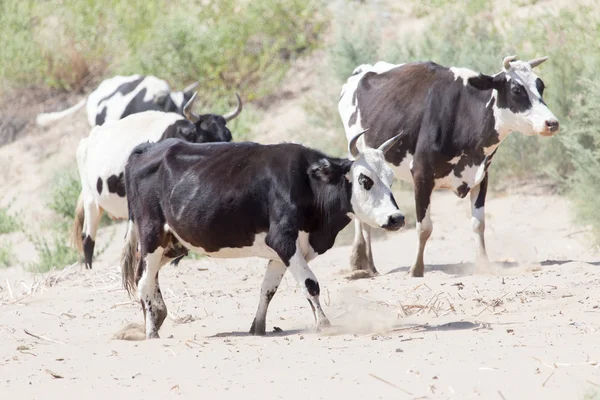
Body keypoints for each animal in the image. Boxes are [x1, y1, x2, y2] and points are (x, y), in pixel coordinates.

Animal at [119, 130, 406, 338]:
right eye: (365, 180)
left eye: (391, 179)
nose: (397, 218)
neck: (307, 182)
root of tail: (148, 148)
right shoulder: (283, 240)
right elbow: (310, 284)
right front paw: (324, 324)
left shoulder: (281, 252)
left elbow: (267, 289)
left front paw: (257, 328)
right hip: (152, 234)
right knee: (144, 280)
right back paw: (152, 332)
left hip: (173, 243)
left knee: (147, 275)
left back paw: (157, 315)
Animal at [340, 54, 560, 278]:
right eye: (516, 89)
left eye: (540, 86)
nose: (552, 123)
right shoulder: (421, 175)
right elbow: (424, 227)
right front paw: (416, 269)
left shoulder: (482, 176)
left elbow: (478, 223)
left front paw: (484, 265)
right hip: (359, 157)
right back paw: (362, 263)